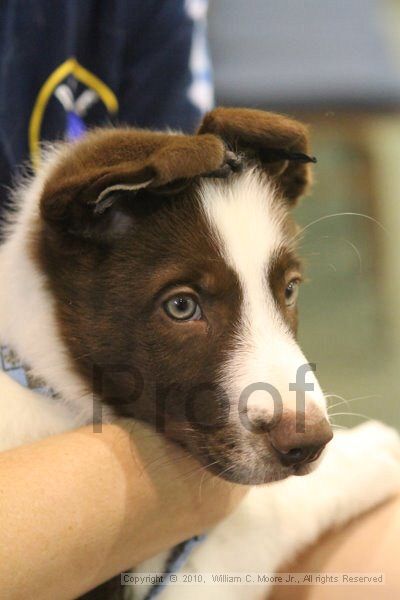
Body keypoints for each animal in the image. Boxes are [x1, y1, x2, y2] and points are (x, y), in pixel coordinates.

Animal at [0, 109, 400, 600]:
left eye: (289, 290)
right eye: (181, 306)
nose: (308, 443)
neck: (44, 381)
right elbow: (262, 514)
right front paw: (369, 450)